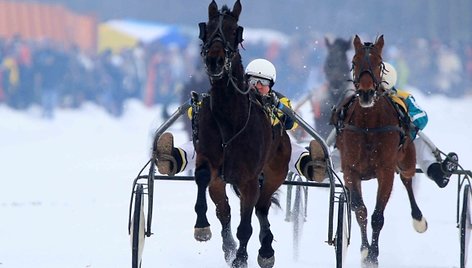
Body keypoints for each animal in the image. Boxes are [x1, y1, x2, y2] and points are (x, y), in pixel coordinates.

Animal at [193, 1, 290, 266]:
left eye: (234, 31)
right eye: (207, 28)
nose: (215, 61)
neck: (230, 119)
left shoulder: (249, 179)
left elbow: (246, 225)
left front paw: (241, 258)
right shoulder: (209, 160)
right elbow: (203, 177)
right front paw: (202, 226)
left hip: (275, 172)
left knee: (262, 207)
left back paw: (265, 249)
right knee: (225, 210)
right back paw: (229, 245)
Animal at [336, 35, 428, 266]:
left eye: (379, 63)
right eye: (355, 61)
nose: (366, 93)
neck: (368, 125)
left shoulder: (385, 171)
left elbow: (378, 216)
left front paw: (373, 256)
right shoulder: (350, 170)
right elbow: (359, 210)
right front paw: (365, 251)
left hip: (407, 158)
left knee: (407, 179)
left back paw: (418, 218)